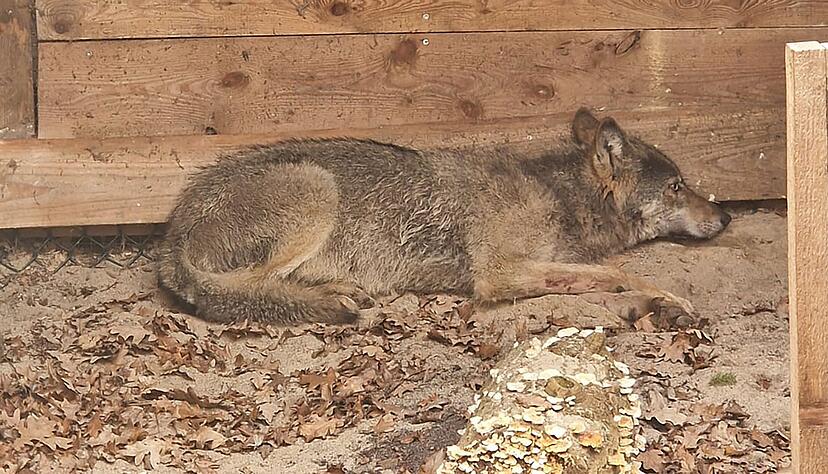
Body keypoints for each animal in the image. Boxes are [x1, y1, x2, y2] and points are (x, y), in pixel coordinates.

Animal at [156, 108, 730, 329]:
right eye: (678, 186)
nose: (725, 215)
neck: (559, 196)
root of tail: (171, 236)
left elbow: (596, 280)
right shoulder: (498, 275)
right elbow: (618, 272)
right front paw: (667, 299)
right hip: (316, 189)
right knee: (245, 290)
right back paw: (331, 298)